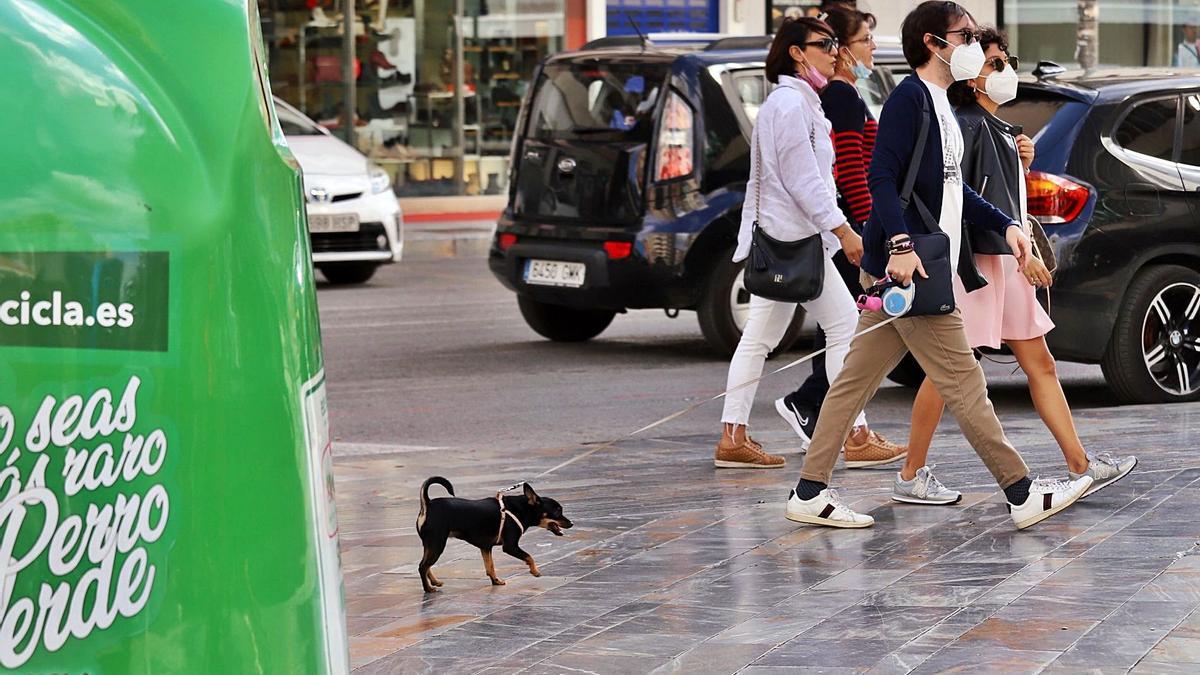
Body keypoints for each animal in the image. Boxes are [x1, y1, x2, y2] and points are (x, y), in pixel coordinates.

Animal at [417, 475, 576, 590]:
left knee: (426, 565)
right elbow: (529, 556)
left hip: (430, 545)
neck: (521, 509)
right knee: (422, 566)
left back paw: (434, 582)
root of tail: (428, 504)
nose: (571, 523)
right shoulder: (510, 547)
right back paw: (428, 589)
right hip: (437, 544)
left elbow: (490, 566)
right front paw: (535, 571)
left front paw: (495, 581)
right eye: (558, 511)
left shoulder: (486, 547)